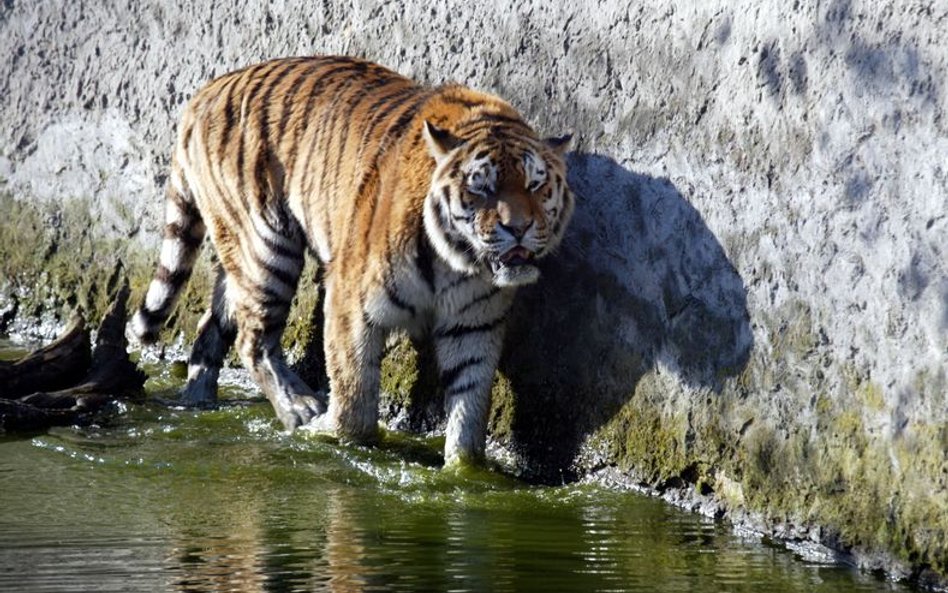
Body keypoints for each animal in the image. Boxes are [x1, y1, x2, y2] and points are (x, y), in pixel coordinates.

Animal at [125, 54, 572, 462]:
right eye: (481, 188)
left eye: (535, 184)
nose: (518, 228)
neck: (456, 260)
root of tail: (207, 90)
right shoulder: (350, 302)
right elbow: (354, 394)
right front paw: (334, 437)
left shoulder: (474, 323)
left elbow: (469, 406)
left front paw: (463, 470)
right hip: (266, 245)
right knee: (254, 340)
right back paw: (299, 408)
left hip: (240, 254)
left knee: (210, 326)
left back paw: (198, 400)